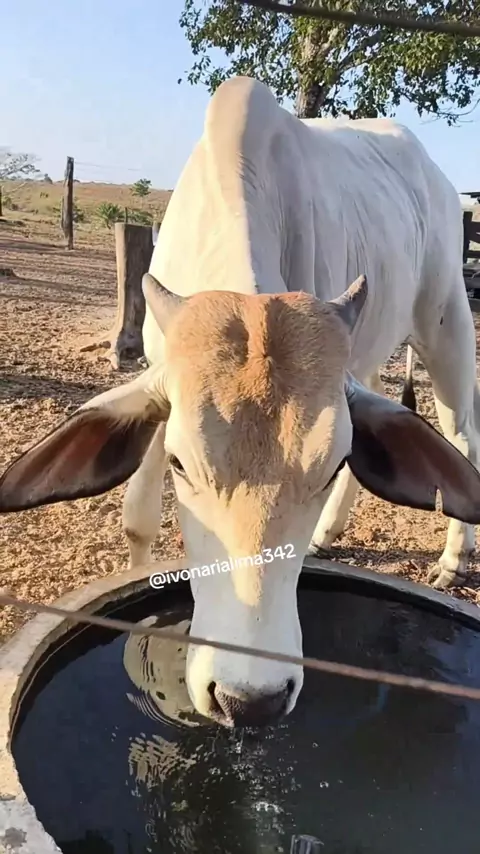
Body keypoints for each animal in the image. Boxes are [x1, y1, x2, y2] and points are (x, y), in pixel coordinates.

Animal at [1, 77, 480, 729]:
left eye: (329, 464)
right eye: (180, 464)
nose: (249, 699)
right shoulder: (159, 387)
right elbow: (138, 519)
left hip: (446, 317)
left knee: (461, 433)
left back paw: (454, 559)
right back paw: (330, 532)